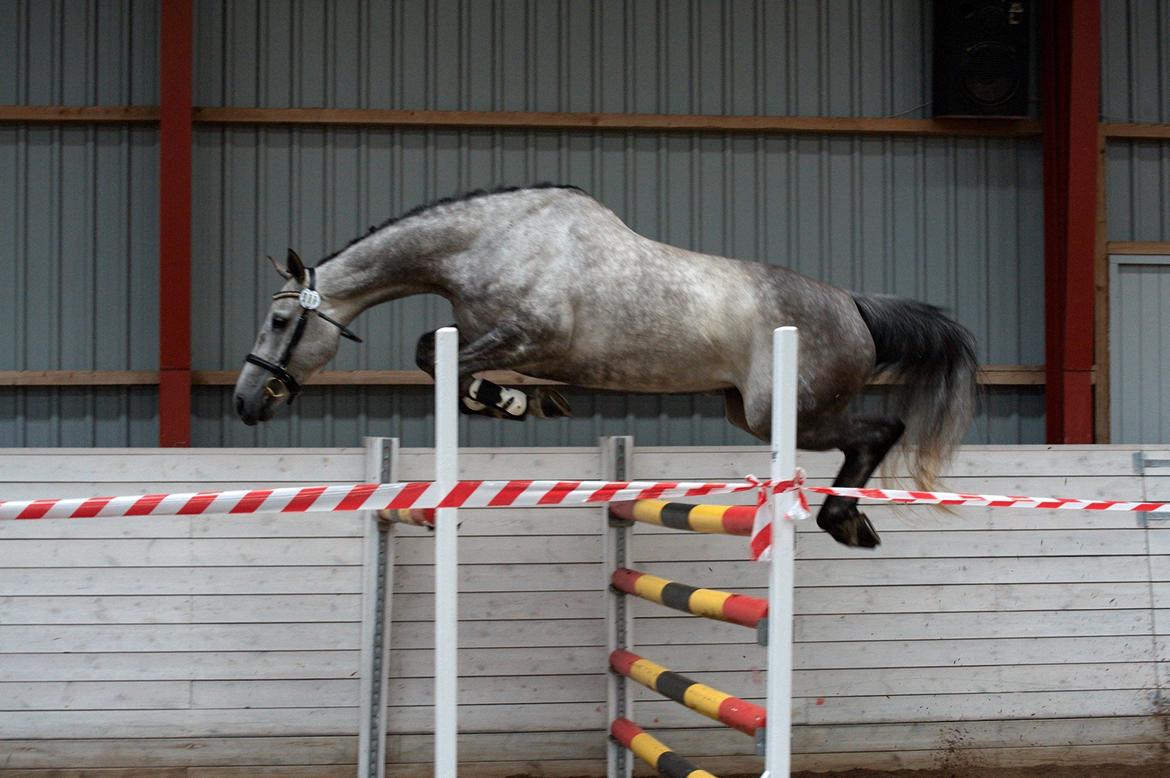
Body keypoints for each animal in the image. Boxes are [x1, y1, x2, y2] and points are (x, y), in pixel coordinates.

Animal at [235, 183, 978, 545]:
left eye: (281, 322)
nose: (246, 402)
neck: (488, 242)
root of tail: (853, 305)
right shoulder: (497, 340)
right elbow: (449, 363)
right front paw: (524, 402)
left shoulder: (526, 336)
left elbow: (432, 355)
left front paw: (508, 401)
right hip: (750, 414)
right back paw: (847, 521)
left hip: (790, 414)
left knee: (880, 431)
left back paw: (845, 521)